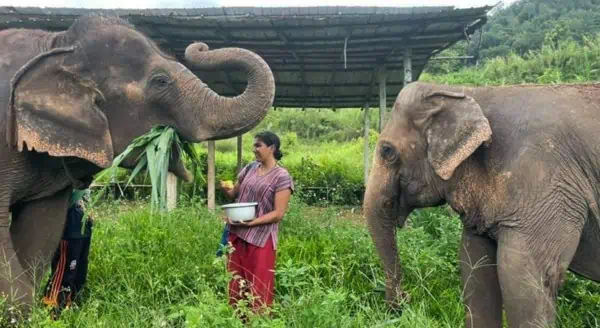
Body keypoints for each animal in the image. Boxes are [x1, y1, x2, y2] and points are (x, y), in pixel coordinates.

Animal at [364, 81, 600, 328]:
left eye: (387, 151)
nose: (404, 301)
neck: (466, 91)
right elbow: (475, 269)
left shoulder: (545, 178)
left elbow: (525, 277)